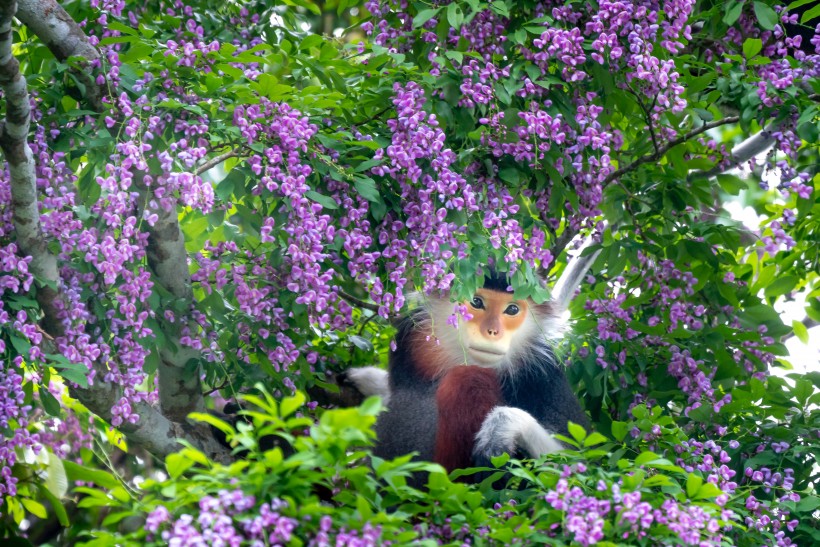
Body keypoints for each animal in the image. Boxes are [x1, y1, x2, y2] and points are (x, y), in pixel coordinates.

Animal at [346, 244, 604, 480]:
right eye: (477, 302)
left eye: (512, 309)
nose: (492, 331)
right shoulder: (412, 338)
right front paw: (368, 378)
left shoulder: (543, 373)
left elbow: (583, 464)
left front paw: (504, 424)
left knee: (468, 378)